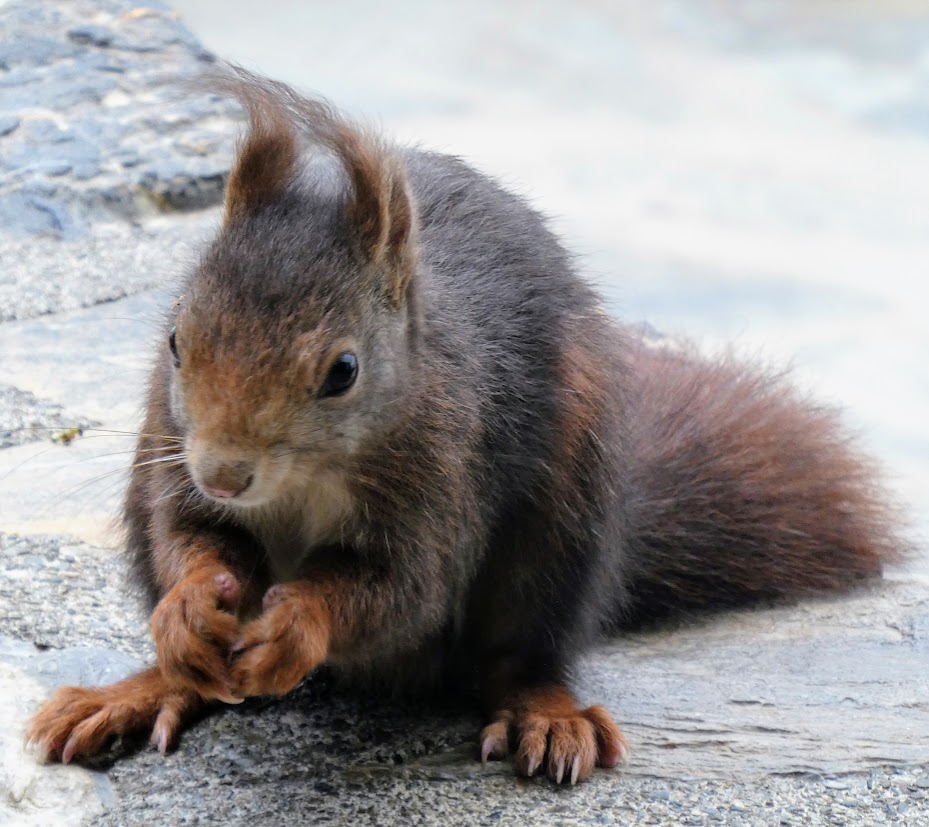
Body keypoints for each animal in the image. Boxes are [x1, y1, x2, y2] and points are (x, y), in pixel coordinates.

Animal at [28, 67, 906, 784]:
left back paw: (545, 714)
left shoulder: (442, 478)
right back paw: (143, 689)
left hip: (557, 531)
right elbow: (190, 536)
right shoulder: (172, 461)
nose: (225, 472)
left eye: (342, 370)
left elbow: (402, 589)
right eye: (175, 340)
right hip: (148, 459)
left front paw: (295, 624)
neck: (302, 485)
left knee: (516, 655)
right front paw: (188, 609)